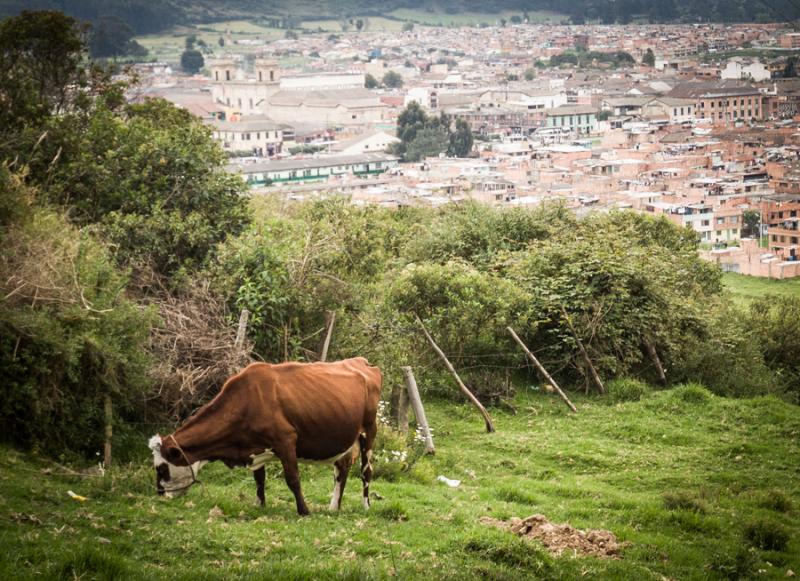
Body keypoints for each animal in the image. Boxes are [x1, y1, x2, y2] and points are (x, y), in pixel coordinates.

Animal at [152, 356, 384, 516]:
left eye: (162, 468)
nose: (159, 494)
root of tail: (361, 362)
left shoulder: (285, 439)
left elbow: (293, 478)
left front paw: (304, 510)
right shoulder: (254, 446)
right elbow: (259, 478)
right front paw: (259, 505)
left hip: (369, 431)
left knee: (366, 471)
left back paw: (366, 505)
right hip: (344, 439)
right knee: (341, 470)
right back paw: (334, 507)